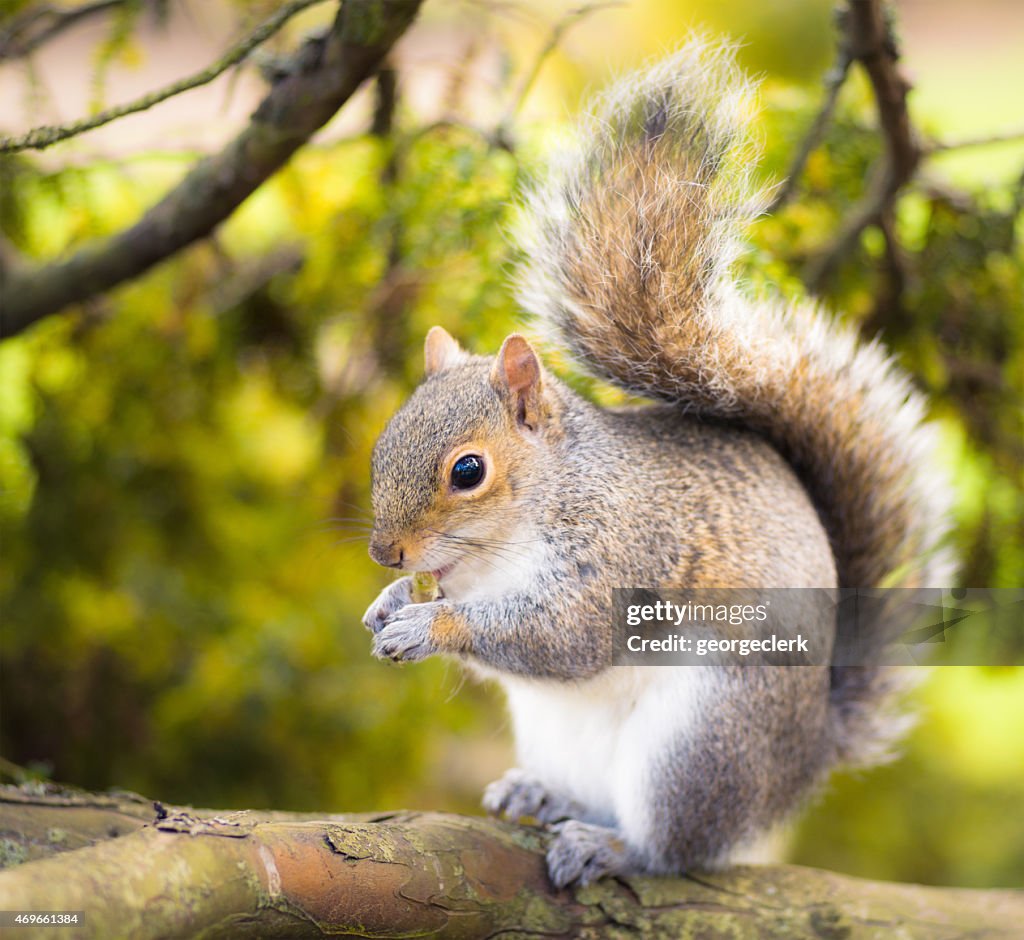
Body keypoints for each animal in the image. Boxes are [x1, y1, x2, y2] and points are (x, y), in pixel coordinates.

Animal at [358, 38, 950, 888]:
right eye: (384, 441)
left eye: (467, 472)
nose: (386, 552)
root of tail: (804, 761)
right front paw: (385, 602)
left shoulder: (619, 554)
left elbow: (565, 639)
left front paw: (427, 624)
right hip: (556, 731)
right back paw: (541, 795)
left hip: (699, 740)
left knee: (675, 844)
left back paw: (611, 846)